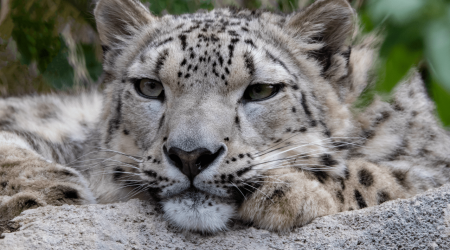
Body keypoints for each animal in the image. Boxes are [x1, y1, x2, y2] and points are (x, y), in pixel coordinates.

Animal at [0, 0, 450, 234]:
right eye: (150, 87)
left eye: (261, 90)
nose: (190, 156)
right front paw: (46, 192)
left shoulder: (432, 167)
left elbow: (377, 176)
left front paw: (286, 190)